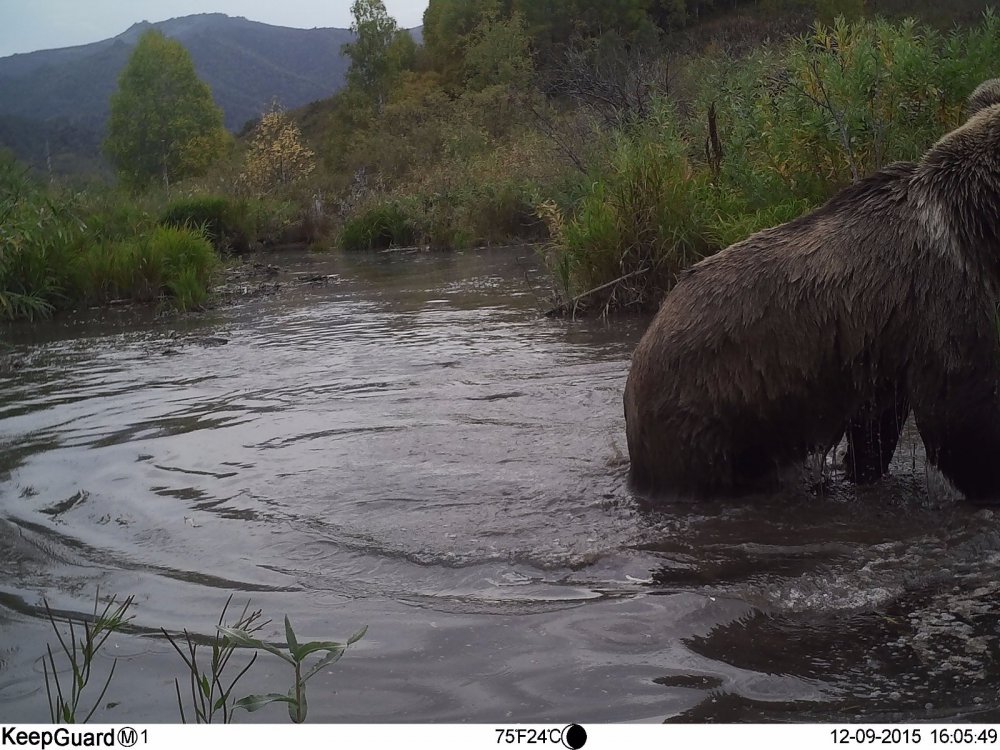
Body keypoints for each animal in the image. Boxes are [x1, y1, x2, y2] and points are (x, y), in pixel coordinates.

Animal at [624, 82, 1000, 502]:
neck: (976, 220)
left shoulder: (886, 346)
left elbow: (876, 427)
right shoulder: (940, 292)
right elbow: (958, 413)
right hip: (702, 410)